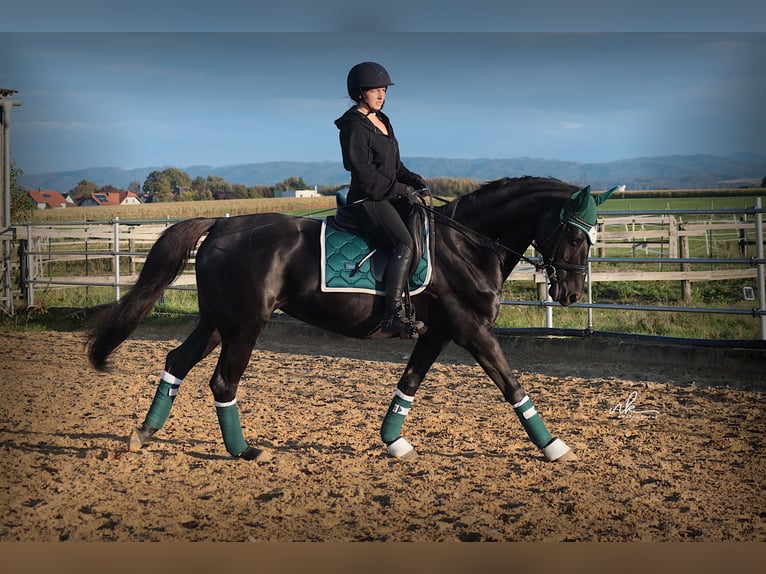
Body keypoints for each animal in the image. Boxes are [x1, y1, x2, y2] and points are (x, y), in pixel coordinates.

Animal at [87, 176, 617, 462]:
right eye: (575, 236)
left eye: (592, 236)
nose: (570, 294)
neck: (466, 244)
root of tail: (220, 224)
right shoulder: (472, 331)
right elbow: (512, 385)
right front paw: (555, 447)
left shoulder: (438, 332)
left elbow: (409, 383)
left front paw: (394, 443)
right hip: (245, 325)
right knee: (222, 382)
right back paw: (245, 450)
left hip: (219, 322)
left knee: (177, 362)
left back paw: (142, 434)